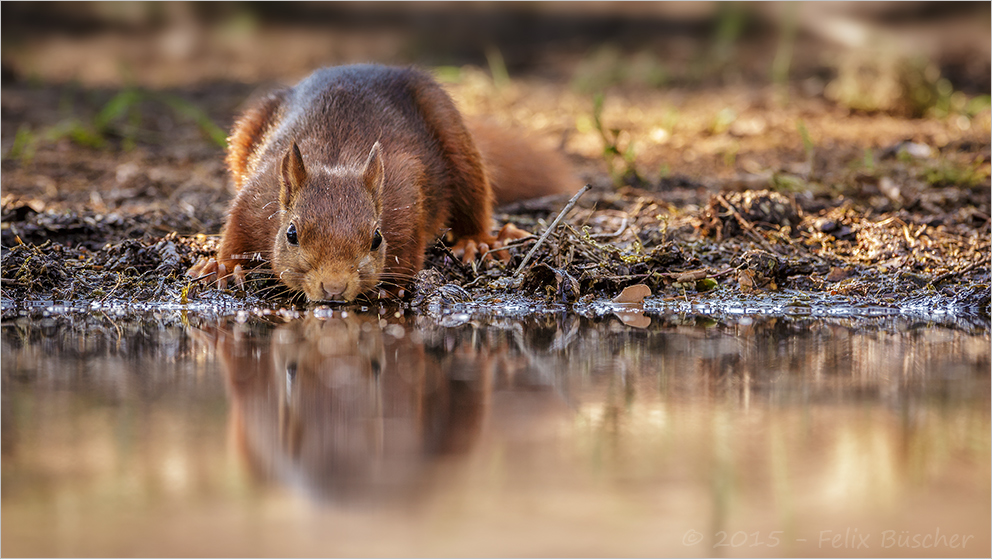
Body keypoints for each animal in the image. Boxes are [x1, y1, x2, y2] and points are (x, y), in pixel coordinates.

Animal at [188, 63, 572, 302]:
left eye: (376, 238)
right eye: (291, 234)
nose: (334, 288)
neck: (336, 159)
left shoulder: (405, 195)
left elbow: (408, 247)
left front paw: (388, 289)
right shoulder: (259, 192)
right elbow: (236, 228)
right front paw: (223, 265)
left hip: (455, 137)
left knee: (473, 201)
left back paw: (477, 241)